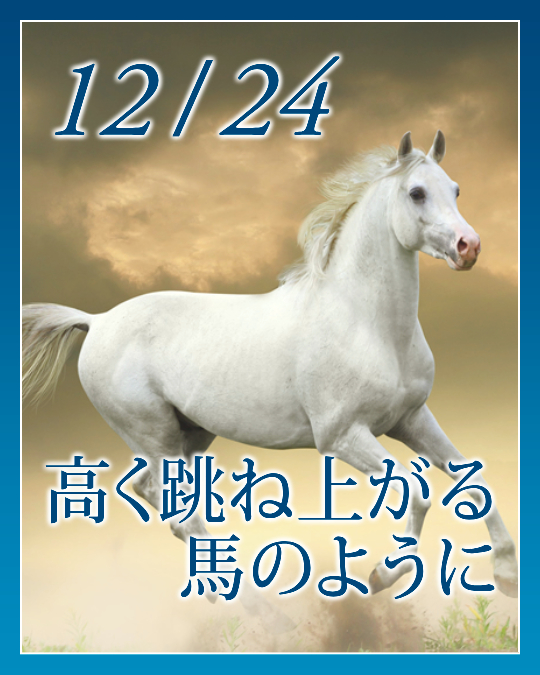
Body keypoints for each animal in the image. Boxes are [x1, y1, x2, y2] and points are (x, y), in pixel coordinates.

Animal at [23, 131, 518, 617]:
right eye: (416, 192)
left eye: (456, 189)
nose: (469, 247)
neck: (367, 324)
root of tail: (97, 320)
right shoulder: (342, 436)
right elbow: (418, 494)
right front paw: (382, 576)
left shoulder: (411, 419)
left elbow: (474, 485)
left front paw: (507, 577)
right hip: (154, 435)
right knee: (177, 506)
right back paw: (253, 606)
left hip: (190, 434)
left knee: (159, 498)